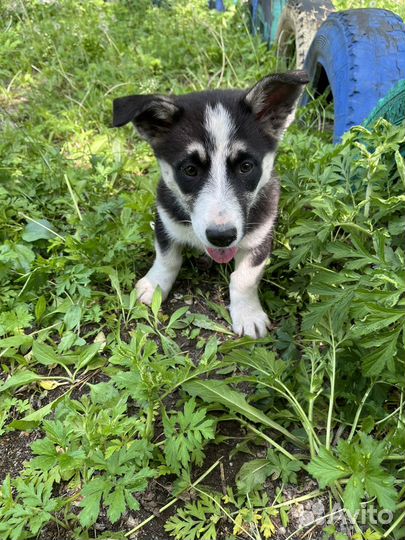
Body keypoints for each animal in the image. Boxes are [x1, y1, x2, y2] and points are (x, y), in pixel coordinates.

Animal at [112, 71, 308, 338]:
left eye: (246, 166)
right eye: (190, 170)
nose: (221, 237)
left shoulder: (261, 235)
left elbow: (244, 278)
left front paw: (248, 315)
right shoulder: (165, 219)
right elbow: (167, 258)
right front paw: (154, 285)